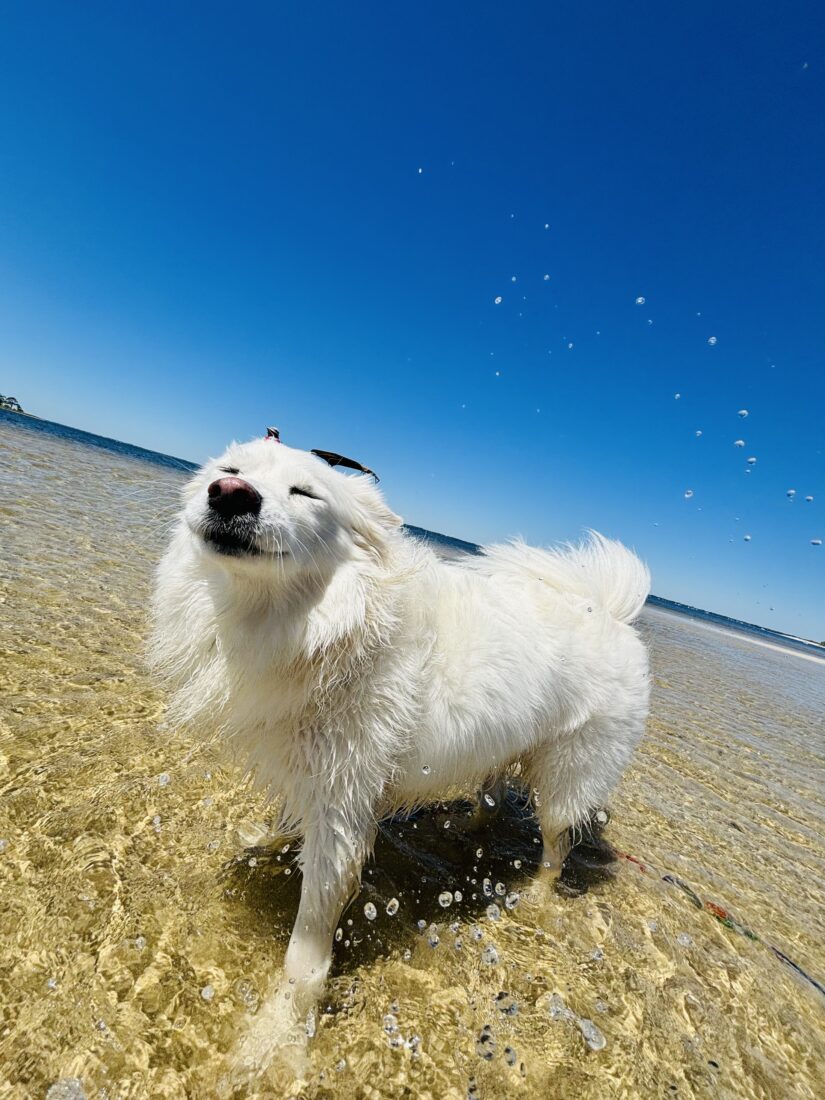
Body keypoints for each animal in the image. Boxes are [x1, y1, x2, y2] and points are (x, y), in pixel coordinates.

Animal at [150, 433, 651, 1069]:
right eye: (230, 470)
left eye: (305, 492)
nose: (231, 494)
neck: (321, 627)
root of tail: (610, 610)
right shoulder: (313, 769)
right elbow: (283, 822)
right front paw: (260, 842)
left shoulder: (343, 808)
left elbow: (305, 953)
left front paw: (276, 1036)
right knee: (492, 799)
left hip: (569, 781)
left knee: (557, 848)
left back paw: (537, 898)